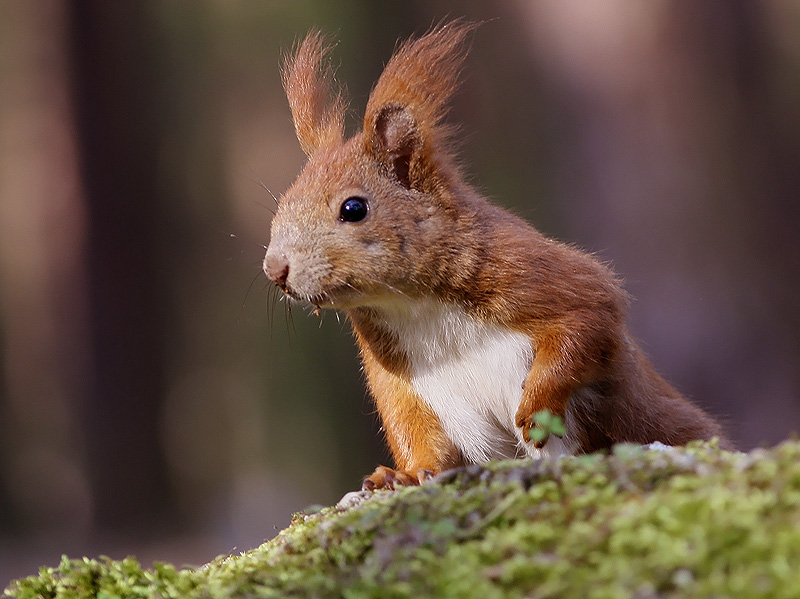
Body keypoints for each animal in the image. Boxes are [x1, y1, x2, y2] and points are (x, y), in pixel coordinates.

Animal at [264, 22, 732, 492]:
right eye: (283, 201)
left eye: (353, 208)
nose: (274, 269)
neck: (415, 307)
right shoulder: (400, 379)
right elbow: (417, 433)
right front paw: (403, 475)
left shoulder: (533, 273)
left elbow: (587, 322)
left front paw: (535, 407)